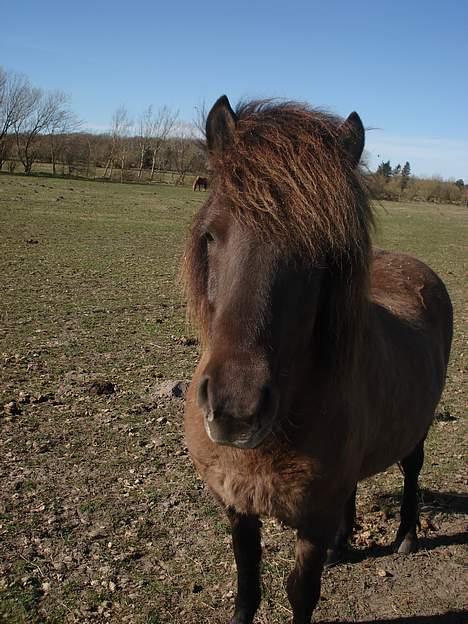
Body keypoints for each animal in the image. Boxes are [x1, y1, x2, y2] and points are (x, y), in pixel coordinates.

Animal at [184, 94, 454, 624]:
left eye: (323, 249)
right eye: (211, 235)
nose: (235, 410)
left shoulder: (310, 518)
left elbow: (300, 593)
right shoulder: (238, 506)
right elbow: (247, 586)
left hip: (417, 428)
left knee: (412, 469)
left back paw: (406, 537)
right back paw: (342, 543)